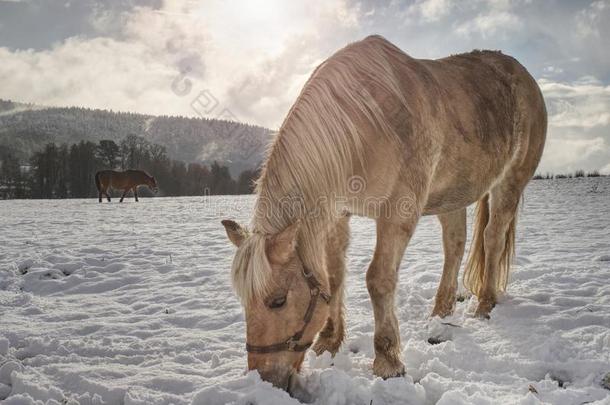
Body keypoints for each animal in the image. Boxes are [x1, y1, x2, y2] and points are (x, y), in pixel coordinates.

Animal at [220, 35, 548, 392]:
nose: (265, 379)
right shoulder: (338, 214)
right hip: (453, 196)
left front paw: (387, 360)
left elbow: (379, 279)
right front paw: (329, 342)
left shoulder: (398, 211)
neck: (366, 124)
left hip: (510, 183)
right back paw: (440, 312)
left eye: (278, 300)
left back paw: (485, 304)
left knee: (492, 239)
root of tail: (524, 77)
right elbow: (334, 277)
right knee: (455, 245)